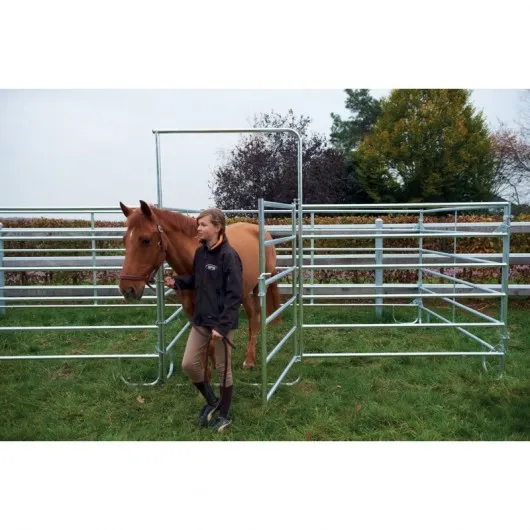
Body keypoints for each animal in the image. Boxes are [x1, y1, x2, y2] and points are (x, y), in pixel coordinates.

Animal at [117, 199, 278, 368]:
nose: (127, 289)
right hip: (244, 292)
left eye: (145, 240)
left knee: (255, 319)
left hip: (259, 288)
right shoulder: (192, 312)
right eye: (124, 240)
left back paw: (249, 360)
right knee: (252, 316)